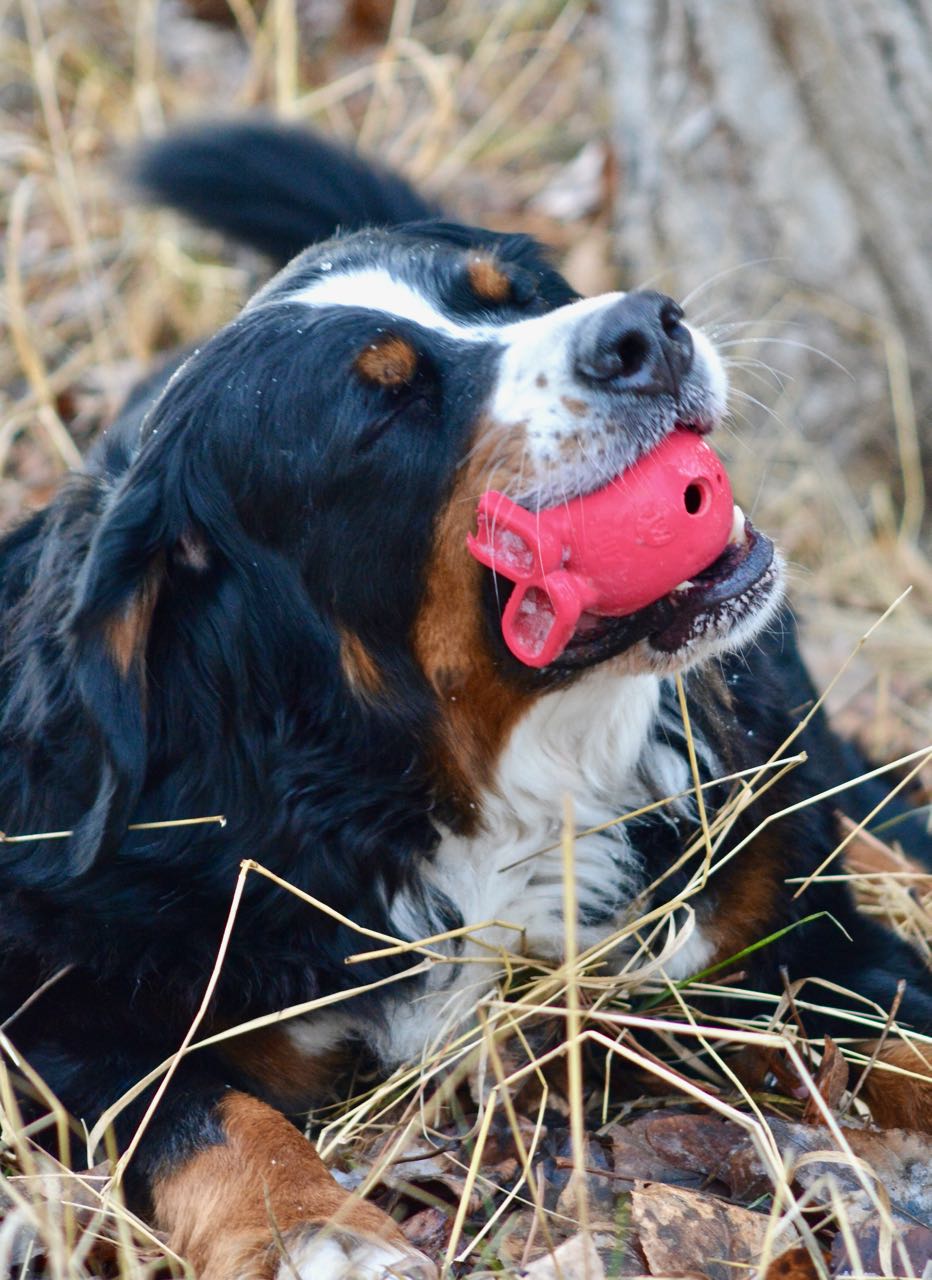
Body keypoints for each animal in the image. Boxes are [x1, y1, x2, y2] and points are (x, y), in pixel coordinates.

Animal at [1, 120, 932, 1280]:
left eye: (518, 293)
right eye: (385, 406)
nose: (643, 328)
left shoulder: (799, 931)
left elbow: (897, 1025)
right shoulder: (54, 1009)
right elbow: (199, 1108)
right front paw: (310, 1230)